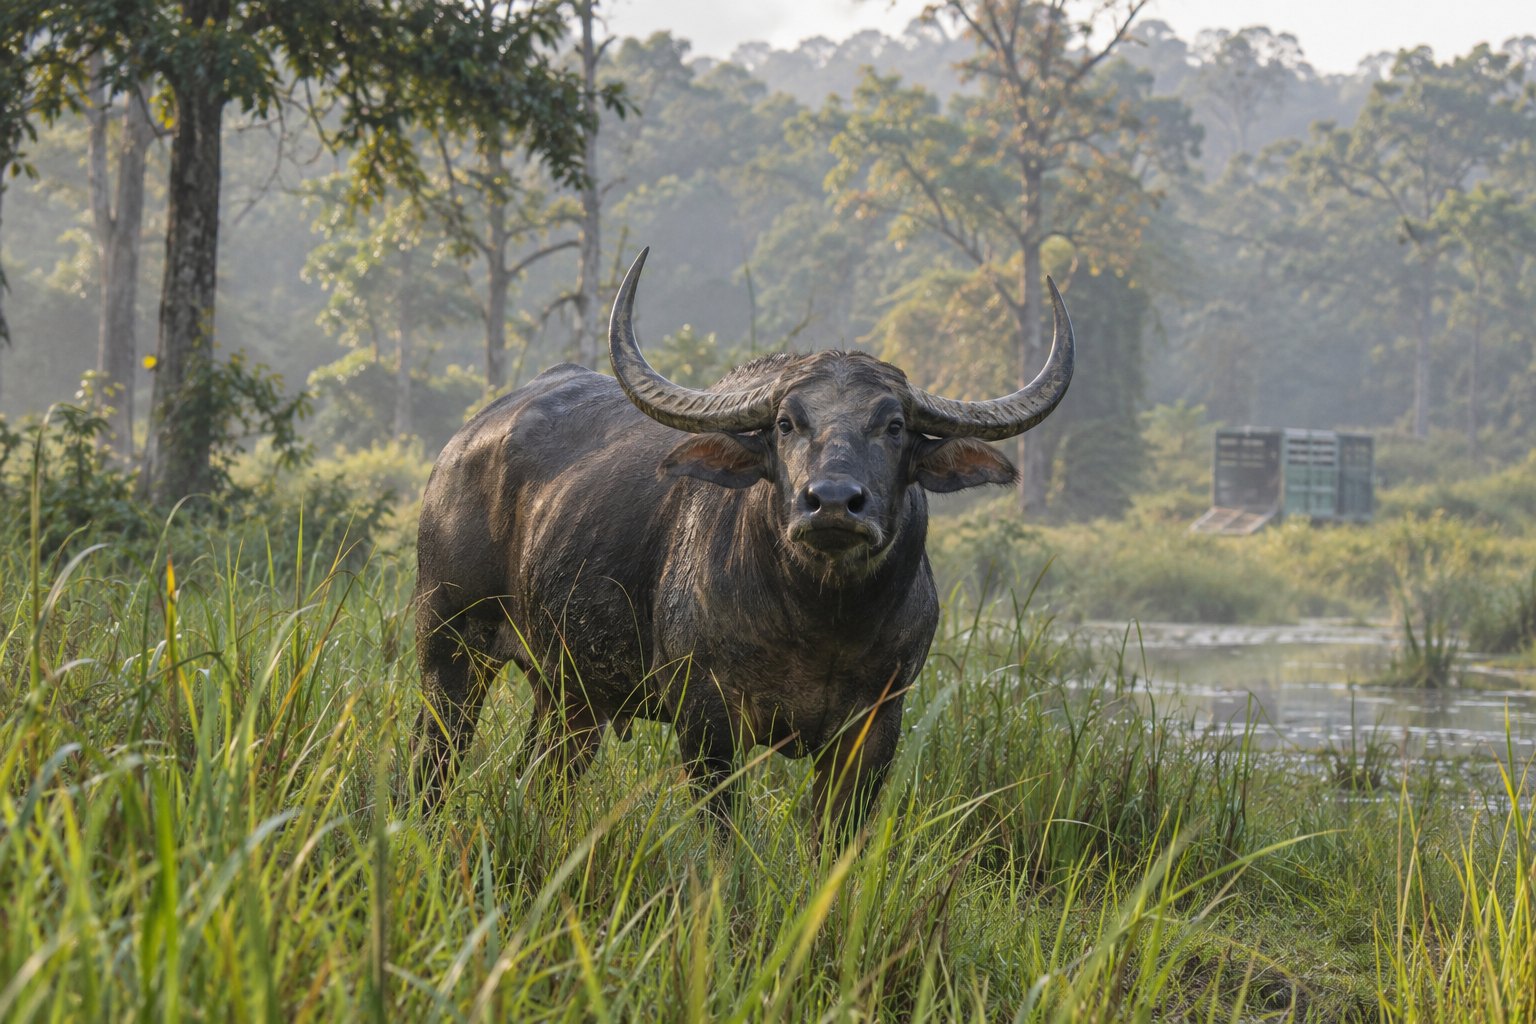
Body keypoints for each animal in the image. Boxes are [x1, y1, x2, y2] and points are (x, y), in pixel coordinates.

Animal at [413, 248, 1073, 839]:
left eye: (894, 426)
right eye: (785, 423)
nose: (833, 501)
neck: (822, 619)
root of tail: (462, 446)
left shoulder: (877, 723)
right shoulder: (708, 717)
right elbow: (722, 835)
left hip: (569, 694)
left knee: (544, 776)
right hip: (448, 646)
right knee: (431, 762)